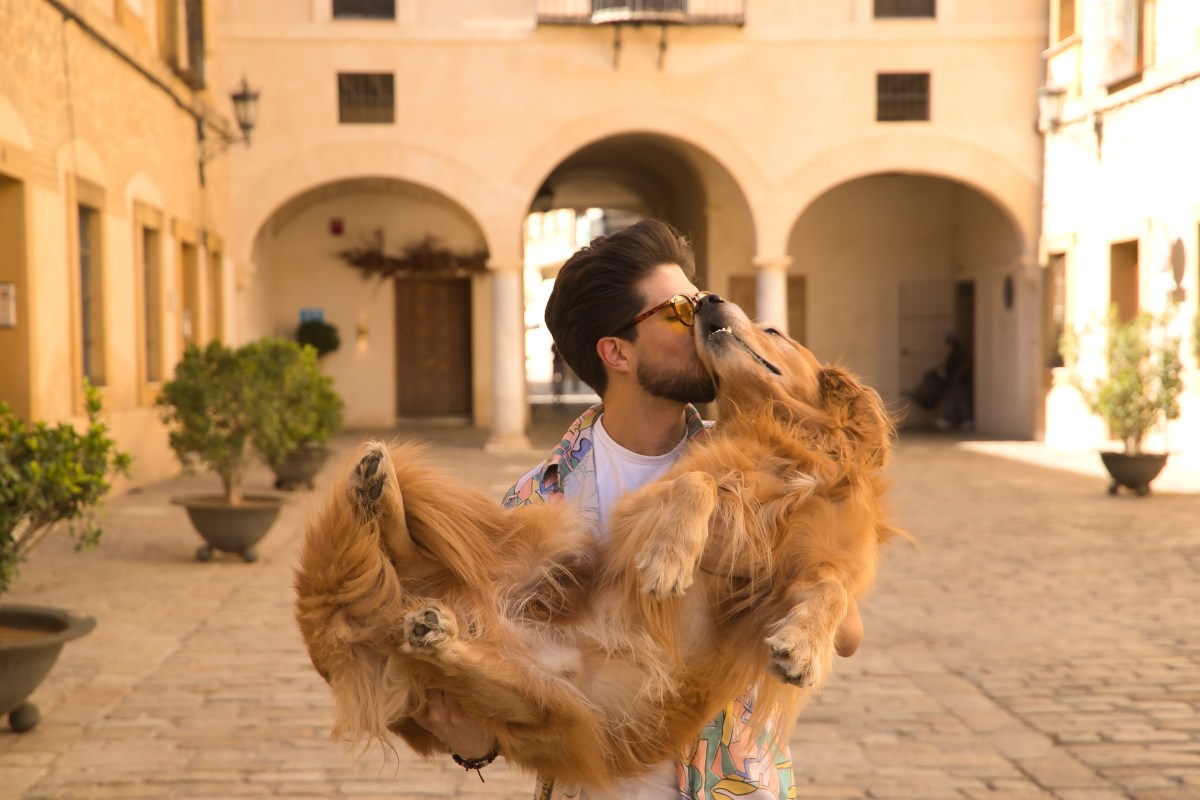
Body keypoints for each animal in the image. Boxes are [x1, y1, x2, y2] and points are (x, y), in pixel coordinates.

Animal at [295, 297, 902, 786]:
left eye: (774, 330)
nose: (708, 298)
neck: (786, 441)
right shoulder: (642, 506)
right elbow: (700, 482)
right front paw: (668, 560)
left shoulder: (816, 566)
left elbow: (831, 592)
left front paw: (804, 647)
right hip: (549, 531)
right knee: (415, 550)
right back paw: (378, 491)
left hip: (547, 705)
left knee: (459, 634)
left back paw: (432, 628)